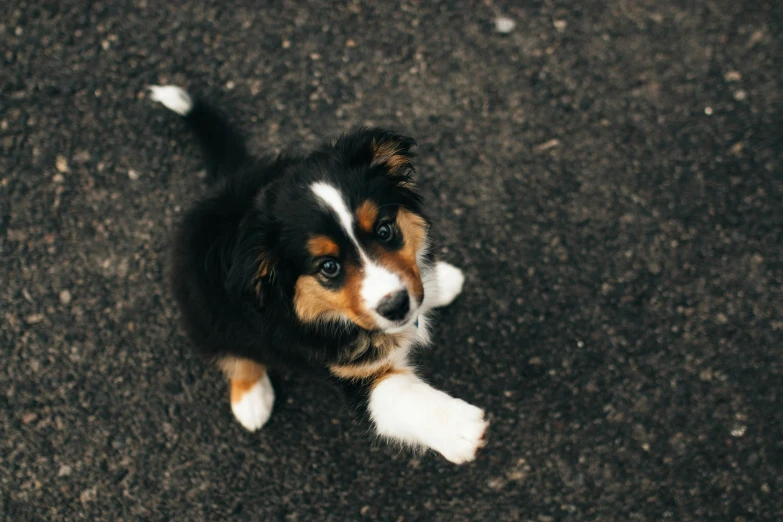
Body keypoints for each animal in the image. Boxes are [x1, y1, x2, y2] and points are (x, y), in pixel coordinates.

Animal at [149, 85, 486, 464]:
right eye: (328, 267)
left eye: (385, 231)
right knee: (232, 354)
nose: (396, 306)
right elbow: (400, 396)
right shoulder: (348, 372)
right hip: (204, 310)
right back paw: (251, 399)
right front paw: (458, 428)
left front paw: (437, 281)